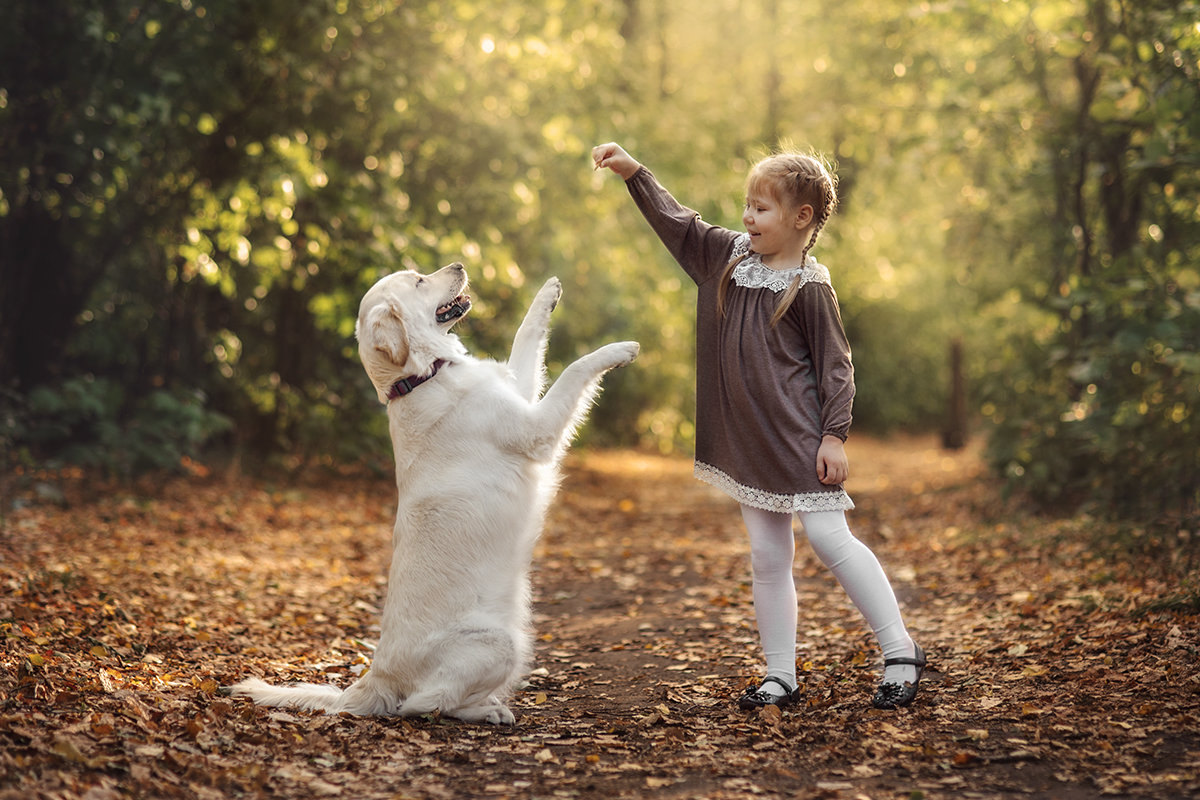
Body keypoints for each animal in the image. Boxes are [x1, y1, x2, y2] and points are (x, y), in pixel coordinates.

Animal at [226, 263, 638, 724]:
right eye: (419, 281)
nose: (460, 265)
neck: (421, 377)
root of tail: (375, 676)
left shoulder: (521, 394)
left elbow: (526, 336)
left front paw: (547, 293)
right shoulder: (536, 430)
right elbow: (575, 370)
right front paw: (619, 350)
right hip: (500, 642)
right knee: (424, 704)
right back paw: (488, 711)